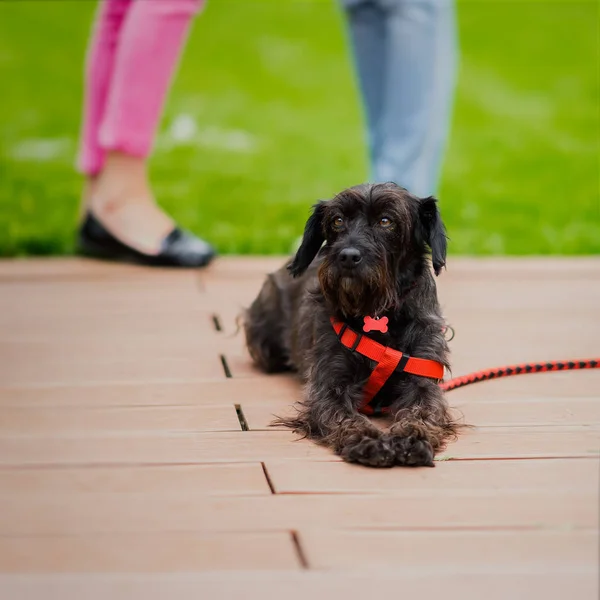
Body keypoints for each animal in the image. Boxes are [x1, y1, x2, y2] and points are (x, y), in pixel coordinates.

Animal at [244, 183, 460, 468]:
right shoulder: (329, 385)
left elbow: (423, 411)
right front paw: (367, 440)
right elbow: (344, 417)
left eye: (386, 221)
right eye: (337, 221)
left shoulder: (422, 380)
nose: (347, 256)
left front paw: (412, 437)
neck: (378, 314)